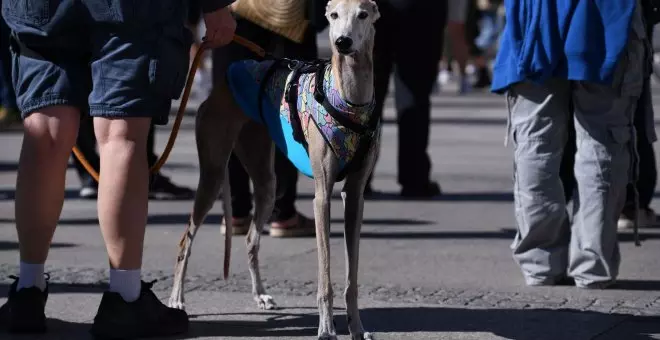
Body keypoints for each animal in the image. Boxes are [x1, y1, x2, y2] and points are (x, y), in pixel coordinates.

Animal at [168, 1, 378, 338]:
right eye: (333, 15)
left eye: (363, 15)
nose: (342, 42)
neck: (349, 100)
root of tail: (223, 83)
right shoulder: (322, 196)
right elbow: (325, 276)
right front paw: (326, 328)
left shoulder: (355, 196)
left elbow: (351, 278)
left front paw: (357, 328)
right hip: (212, 174)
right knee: (186, 239)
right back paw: (176, 299)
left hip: (265, 180)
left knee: (251, 239)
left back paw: (261, 295)